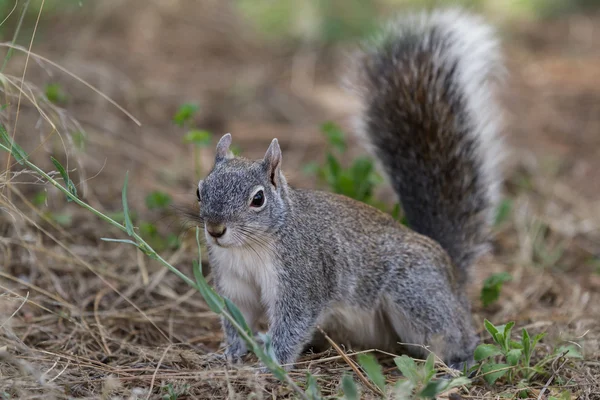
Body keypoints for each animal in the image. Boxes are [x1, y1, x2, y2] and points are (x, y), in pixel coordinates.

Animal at [198, 8, 506, 368]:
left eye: (258, 199)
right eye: (200, 191)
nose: (215, 230)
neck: (249, 247)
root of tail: (453, 273)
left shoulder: (302, 278)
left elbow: (293, 323)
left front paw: (270, 365)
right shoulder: (234, 281)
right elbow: (236, 318)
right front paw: (228, 354)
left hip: (415, 295)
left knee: (453, 336)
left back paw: (458, 362)